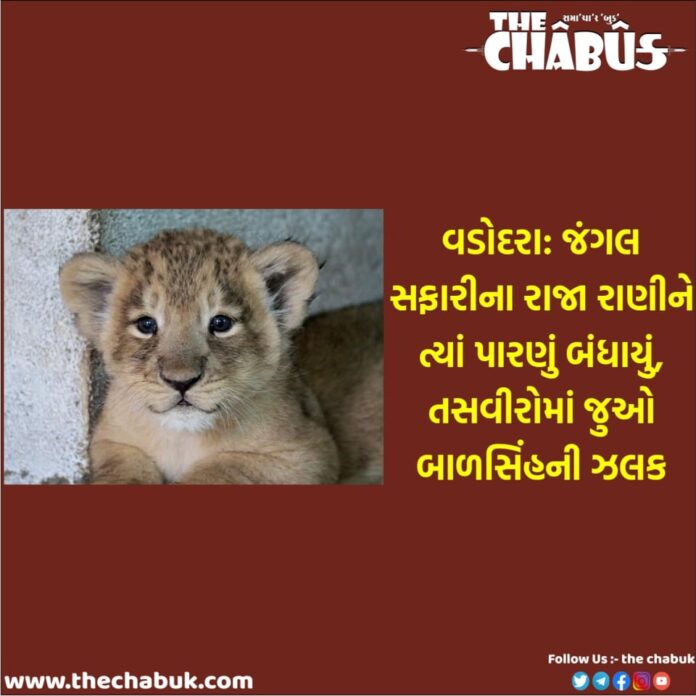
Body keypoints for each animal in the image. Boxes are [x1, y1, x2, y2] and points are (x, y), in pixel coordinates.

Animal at [59, 229, 383, 484]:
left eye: (221, 323)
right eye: (146, 325)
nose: (181, 382)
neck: (182, 438)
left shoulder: (311, 452)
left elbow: (221, 468)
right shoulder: (111, 441)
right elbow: (122, 472)